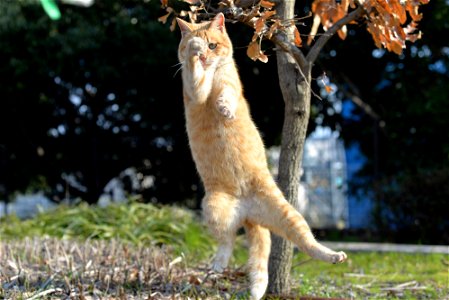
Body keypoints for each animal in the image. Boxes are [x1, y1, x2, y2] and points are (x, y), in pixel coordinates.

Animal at [175, 12, 346, 300]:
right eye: (199, 47)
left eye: (213, 45)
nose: (205, 55)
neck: (212, 74)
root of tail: (248, 213)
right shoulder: (194, 89)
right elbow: (194, 74)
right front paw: (194, 57)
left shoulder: (230, 84)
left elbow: (226, 93)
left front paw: (225, 109)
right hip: (214, 207)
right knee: (228, 241)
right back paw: (220, 265)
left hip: (289, 215)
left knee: (306, 242)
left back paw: (333, 256)